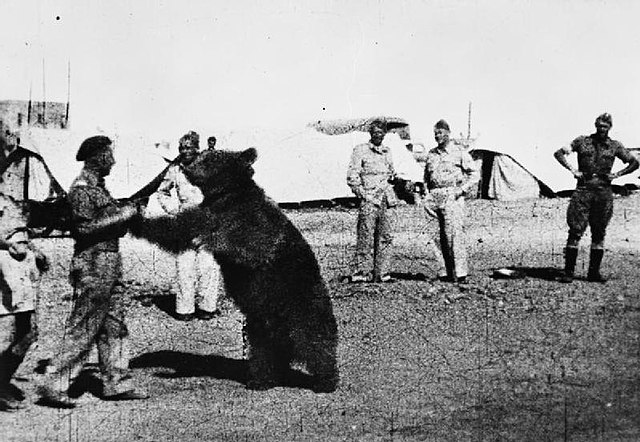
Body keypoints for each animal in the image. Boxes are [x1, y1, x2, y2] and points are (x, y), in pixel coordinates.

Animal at [131, 148, 340, 394]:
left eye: (209, 156)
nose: (186, 159)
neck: (224, 196)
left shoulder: (250, 220)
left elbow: (249, 245)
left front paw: (208, 240)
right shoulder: (205, 214)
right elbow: (175, 230)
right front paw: (137, 219)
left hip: (300, 305)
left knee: (313, 341)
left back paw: (325, 380)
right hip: (261, 323)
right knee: (263, 353)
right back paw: (261, 380)